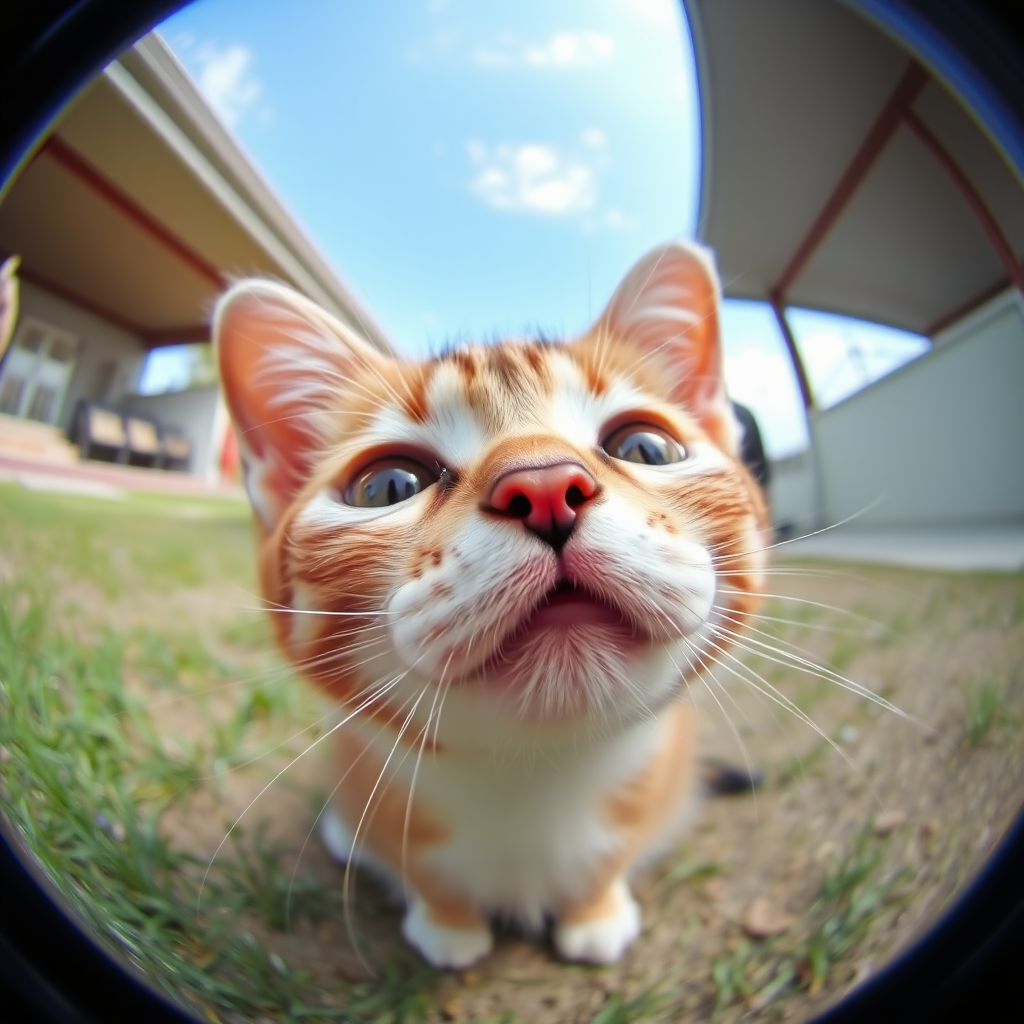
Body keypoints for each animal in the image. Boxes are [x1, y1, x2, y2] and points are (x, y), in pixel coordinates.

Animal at [214, 239, 770, 966]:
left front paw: (596, 910)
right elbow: (421, 865)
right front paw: (447, 927)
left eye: (644, 447)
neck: (534, 781)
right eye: (388, 486)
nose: (545, 486)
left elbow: (616, 850)